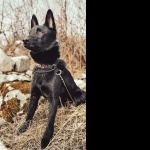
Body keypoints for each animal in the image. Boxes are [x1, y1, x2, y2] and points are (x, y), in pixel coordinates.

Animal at [16, 9, 85, 149]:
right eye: (29, 32)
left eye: (40, 32)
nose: (24, 40)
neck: (44, 67)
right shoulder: (34, 96)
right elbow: (29, 114)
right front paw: (24, 128)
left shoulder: (53, 99)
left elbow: (49, 121)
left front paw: (46, 139)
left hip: (78, 95)